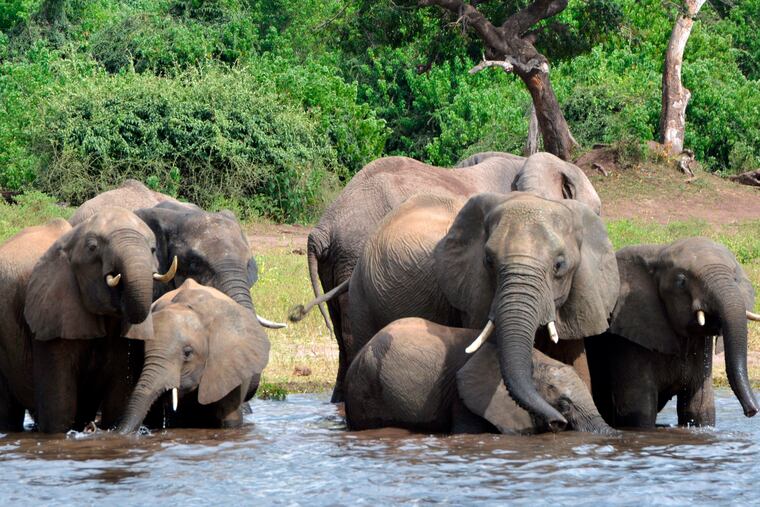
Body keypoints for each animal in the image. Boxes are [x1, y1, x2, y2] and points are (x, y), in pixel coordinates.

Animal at [585, 237, 759, 428]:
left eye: (735, 279)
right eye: (681, 282)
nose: (751, 411)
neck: (659, 252)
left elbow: (699, 408)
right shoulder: (626, 337)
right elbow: (639, 412)